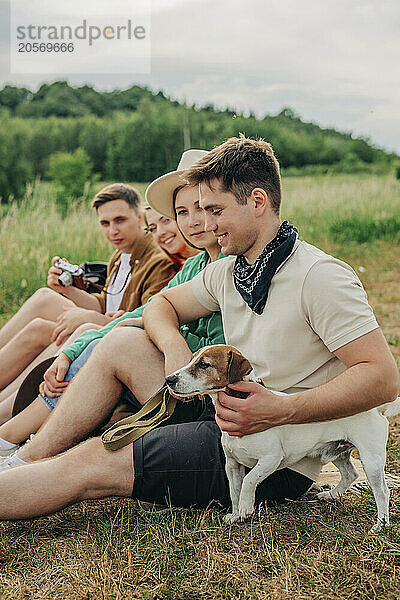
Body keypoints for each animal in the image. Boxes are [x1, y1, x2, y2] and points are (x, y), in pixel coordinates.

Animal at [166, 344, 400, 532]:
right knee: (351, 474)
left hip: (371, 460)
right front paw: (235, 513)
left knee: (382, 493)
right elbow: (234, 490)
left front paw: (245, 507)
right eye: (192, 359)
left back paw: (381, 524)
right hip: (337, 452)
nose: (169, 379)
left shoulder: (271, 459)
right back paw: (331, 495)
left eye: (204, 364)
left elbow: (249, 481)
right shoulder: (231, 465)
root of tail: (376, 408)